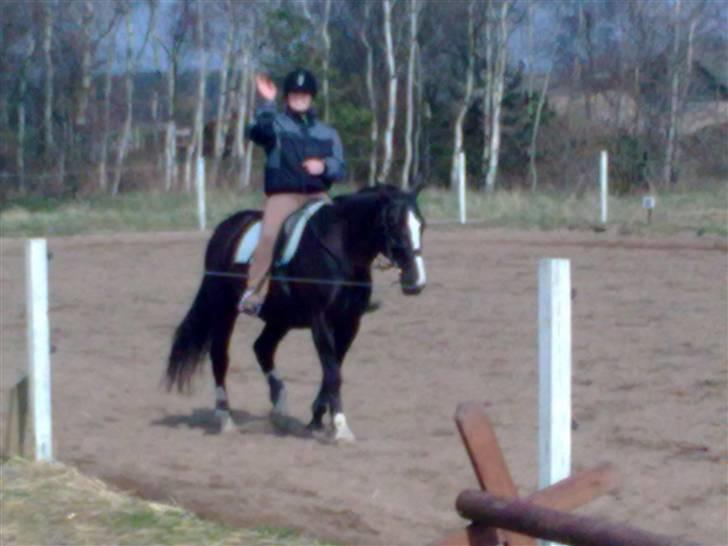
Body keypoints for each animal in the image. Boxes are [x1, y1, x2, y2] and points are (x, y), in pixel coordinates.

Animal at [165, 185, 426, 440]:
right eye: (392, 223)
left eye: (421, 224)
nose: (416, 281)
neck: (340, 249)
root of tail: (226, 228)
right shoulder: (321, 320)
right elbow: (333, 373)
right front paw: (341, 427)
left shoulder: (350, 322)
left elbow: (332, 369)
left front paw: (317, 420)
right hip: (224, 309)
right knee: (220, 355)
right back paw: (226, 419)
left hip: (281, 318)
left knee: (263, 348)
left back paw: (279, 409)